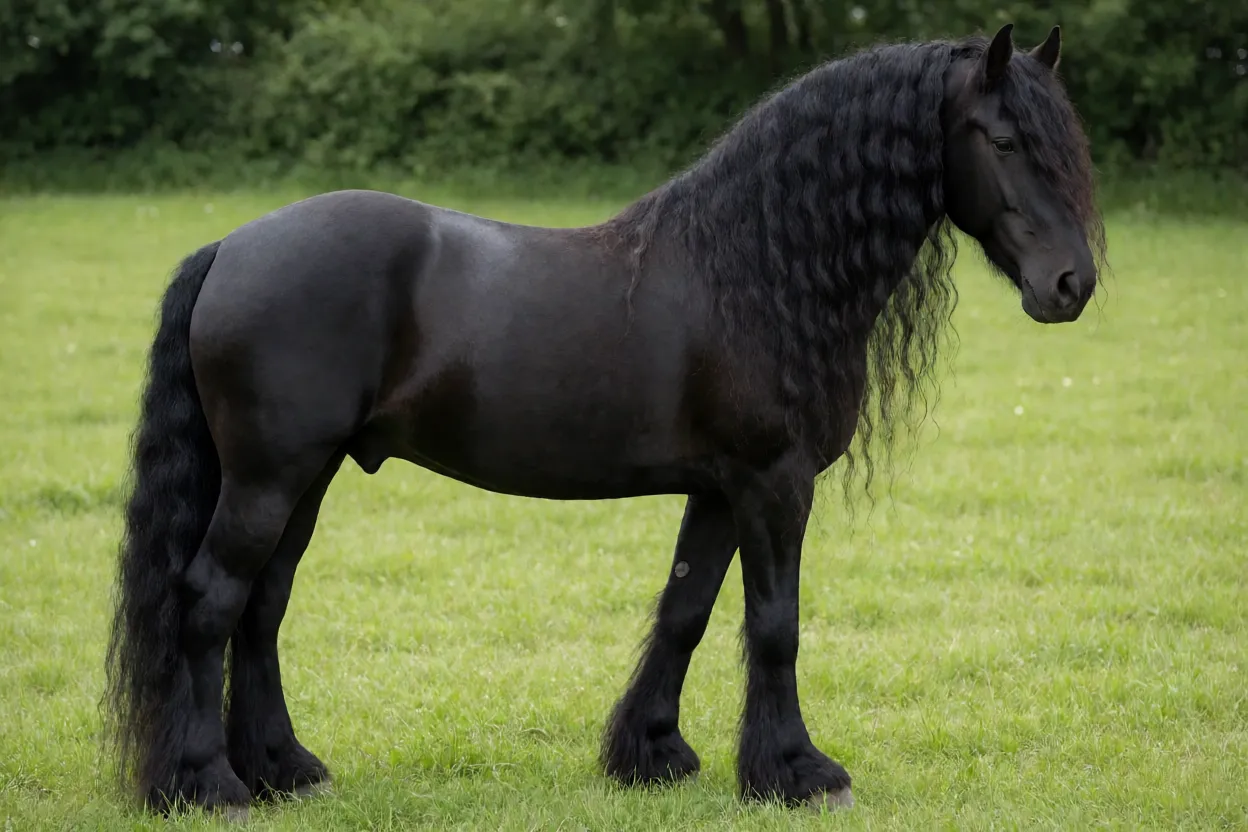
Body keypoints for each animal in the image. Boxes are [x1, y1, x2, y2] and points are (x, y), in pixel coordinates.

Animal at [104, 23, 1105, 816]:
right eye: (1004, 138)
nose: (1071, 285)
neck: (755, 271)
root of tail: (231, 247)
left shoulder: (720, 490)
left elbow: (686, 609)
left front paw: (652, 753)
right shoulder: (773, 484)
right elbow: (773, 623)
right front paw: (797, 772)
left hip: (303, 477)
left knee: (261, 608)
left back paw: (284, 770)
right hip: (269, 477)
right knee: (209, 600)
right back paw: (208, 784)